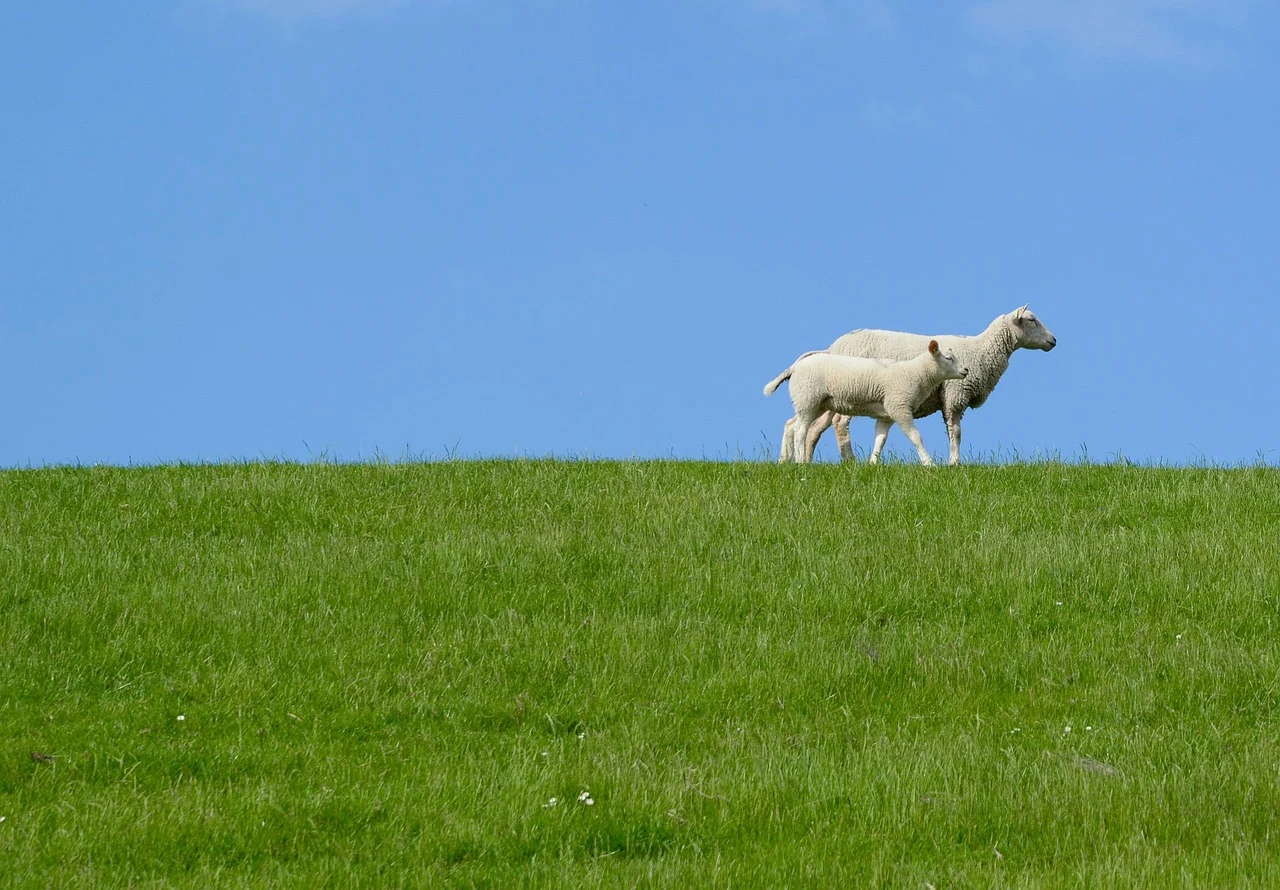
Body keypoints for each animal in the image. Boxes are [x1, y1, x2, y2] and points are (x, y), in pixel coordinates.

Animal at [764, 340, 970, 465]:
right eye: (949, 358)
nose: (966, 370)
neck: (916, 373)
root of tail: (795, 367)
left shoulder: (887, 415)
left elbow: (880, 440)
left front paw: (872, 463)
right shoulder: (899, 407)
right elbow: (915, 436)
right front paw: (929, 463)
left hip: (815, 403)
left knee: (791, 425)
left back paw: (785, 460)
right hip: (808, 398)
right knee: (800, 430)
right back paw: (800, 461)